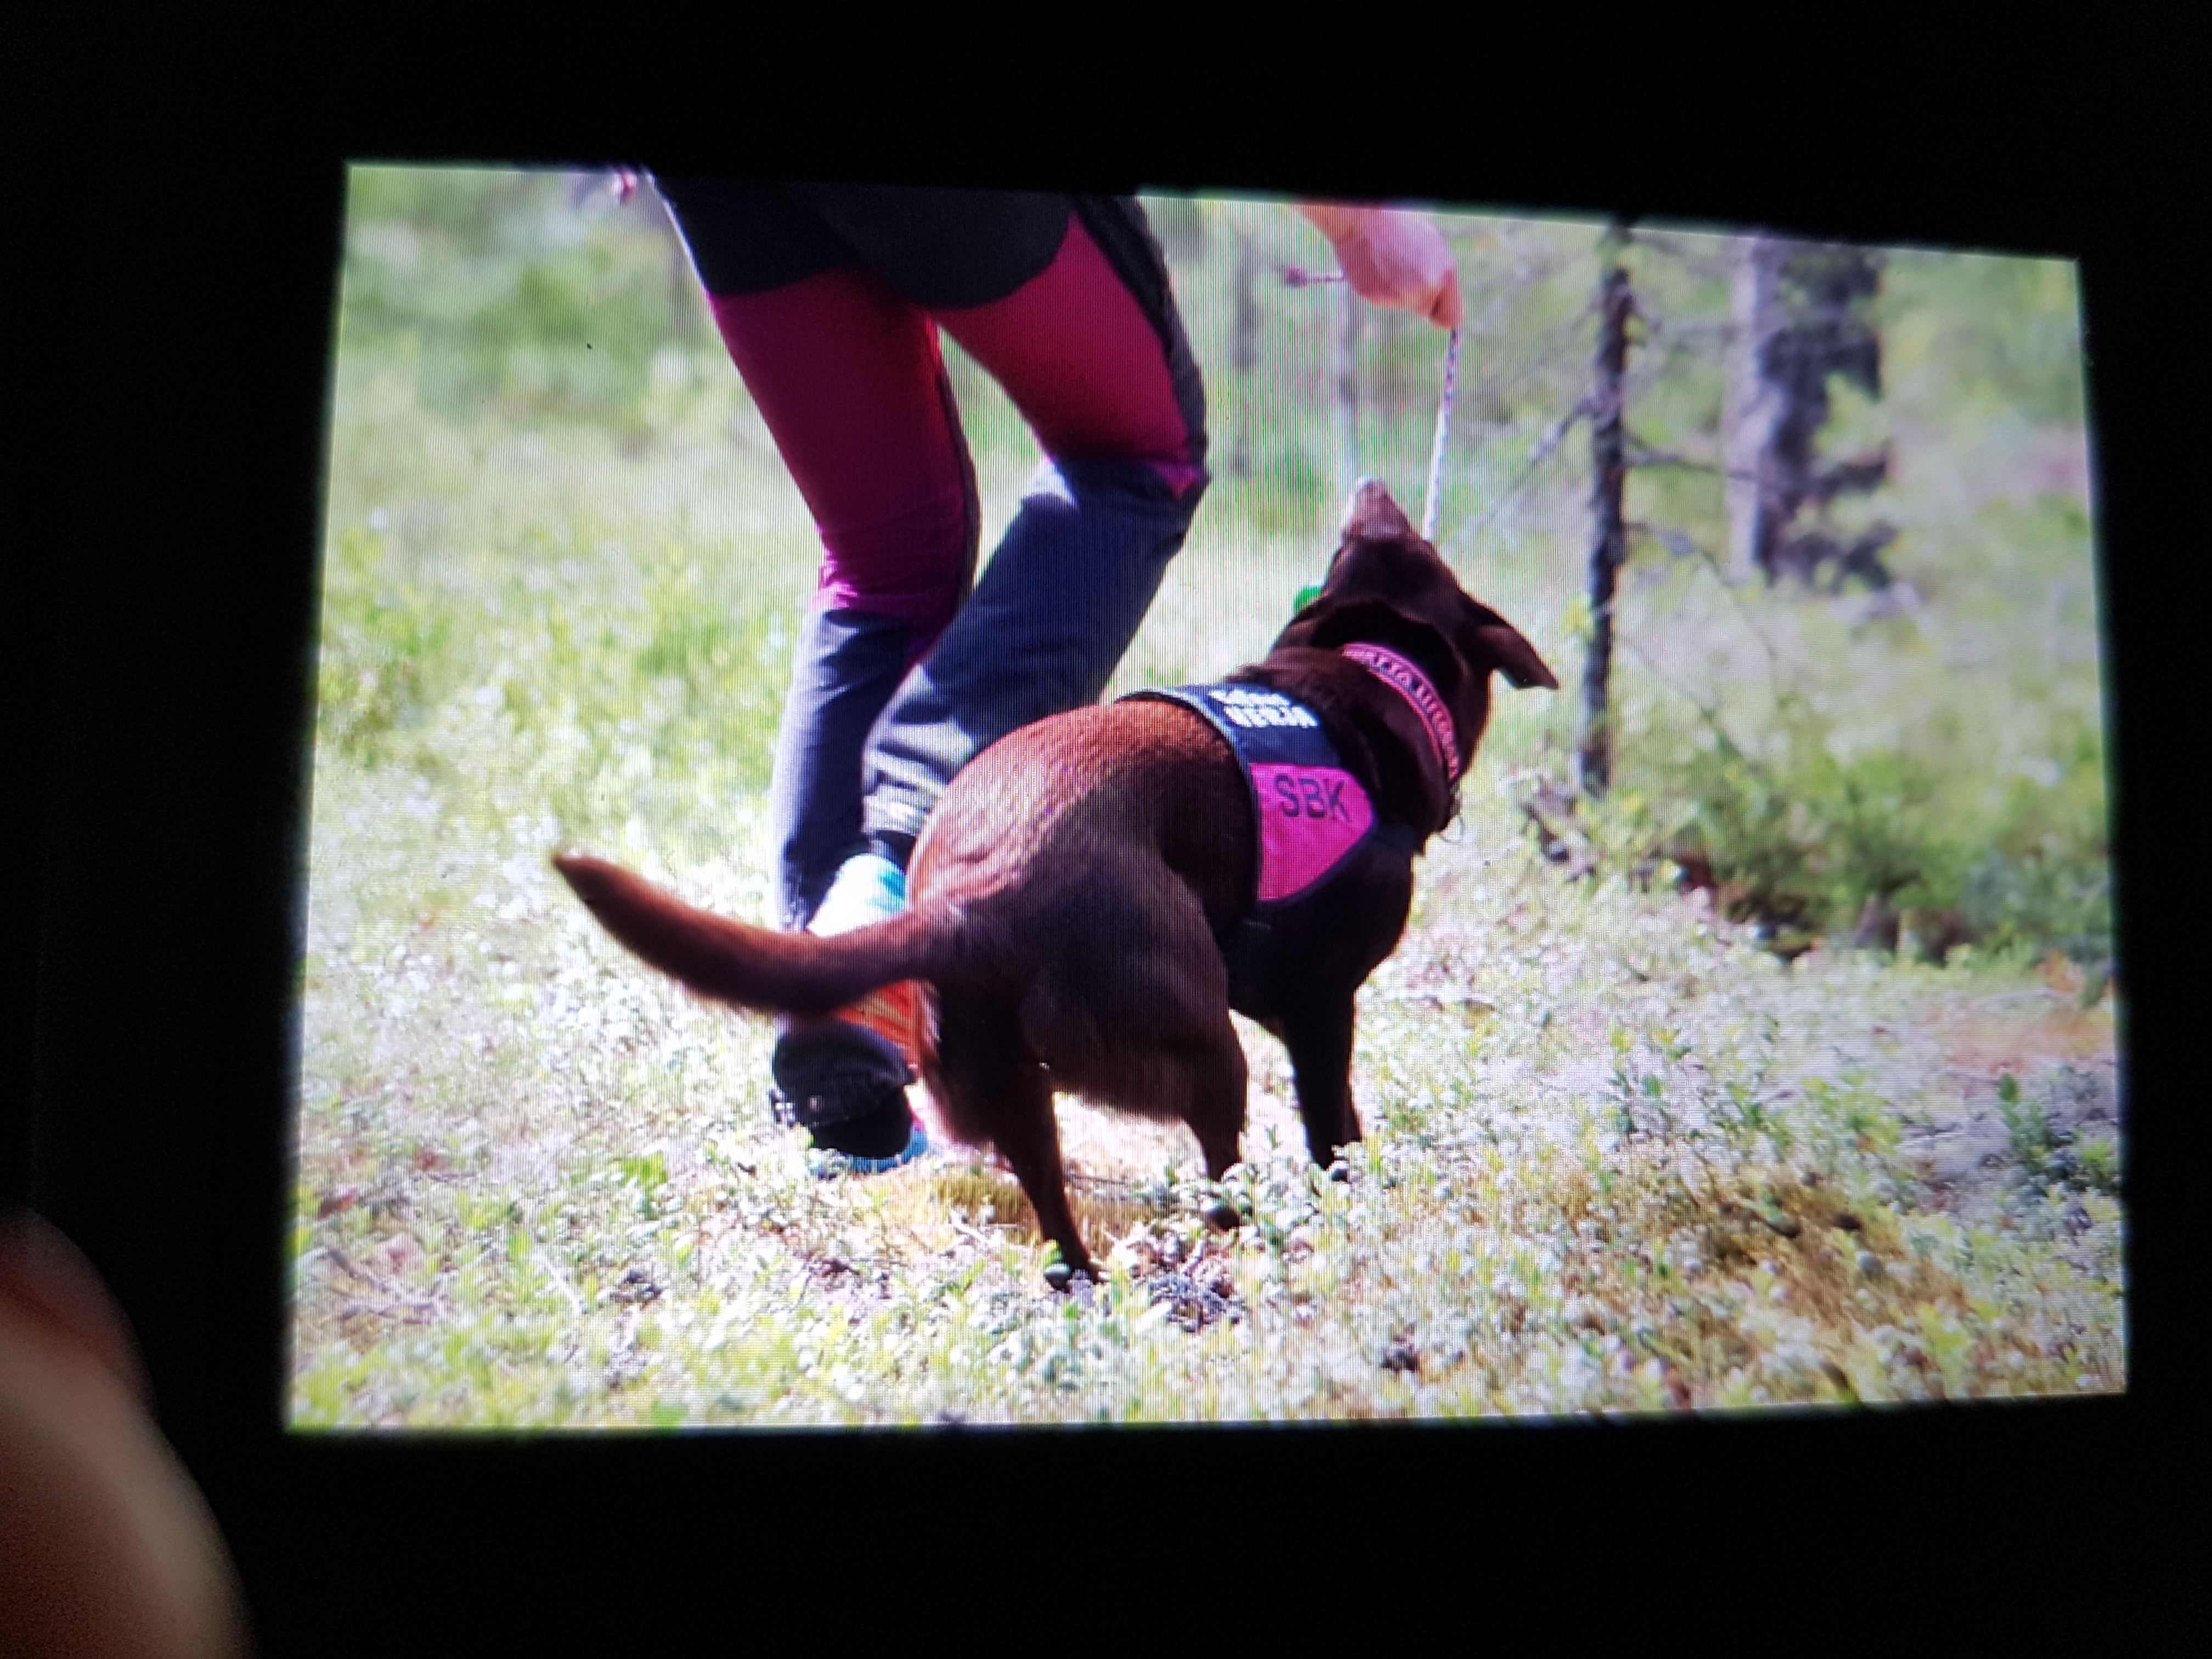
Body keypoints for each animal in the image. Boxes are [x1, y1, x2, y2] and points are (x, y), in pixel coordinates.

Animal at [554, 481, 1556, 1284]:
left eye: (1379, 543)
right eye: (1410, 543)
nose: (1374, 491)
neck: (1367, 684)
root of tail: (971, 906)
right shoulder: (1323, 1008)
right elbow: (1335, 1129)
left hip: (1006, 1083)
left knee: (1049, 1207)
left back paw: (1085, 1285)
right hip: (1204, 1048)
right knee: (1220, 1181)